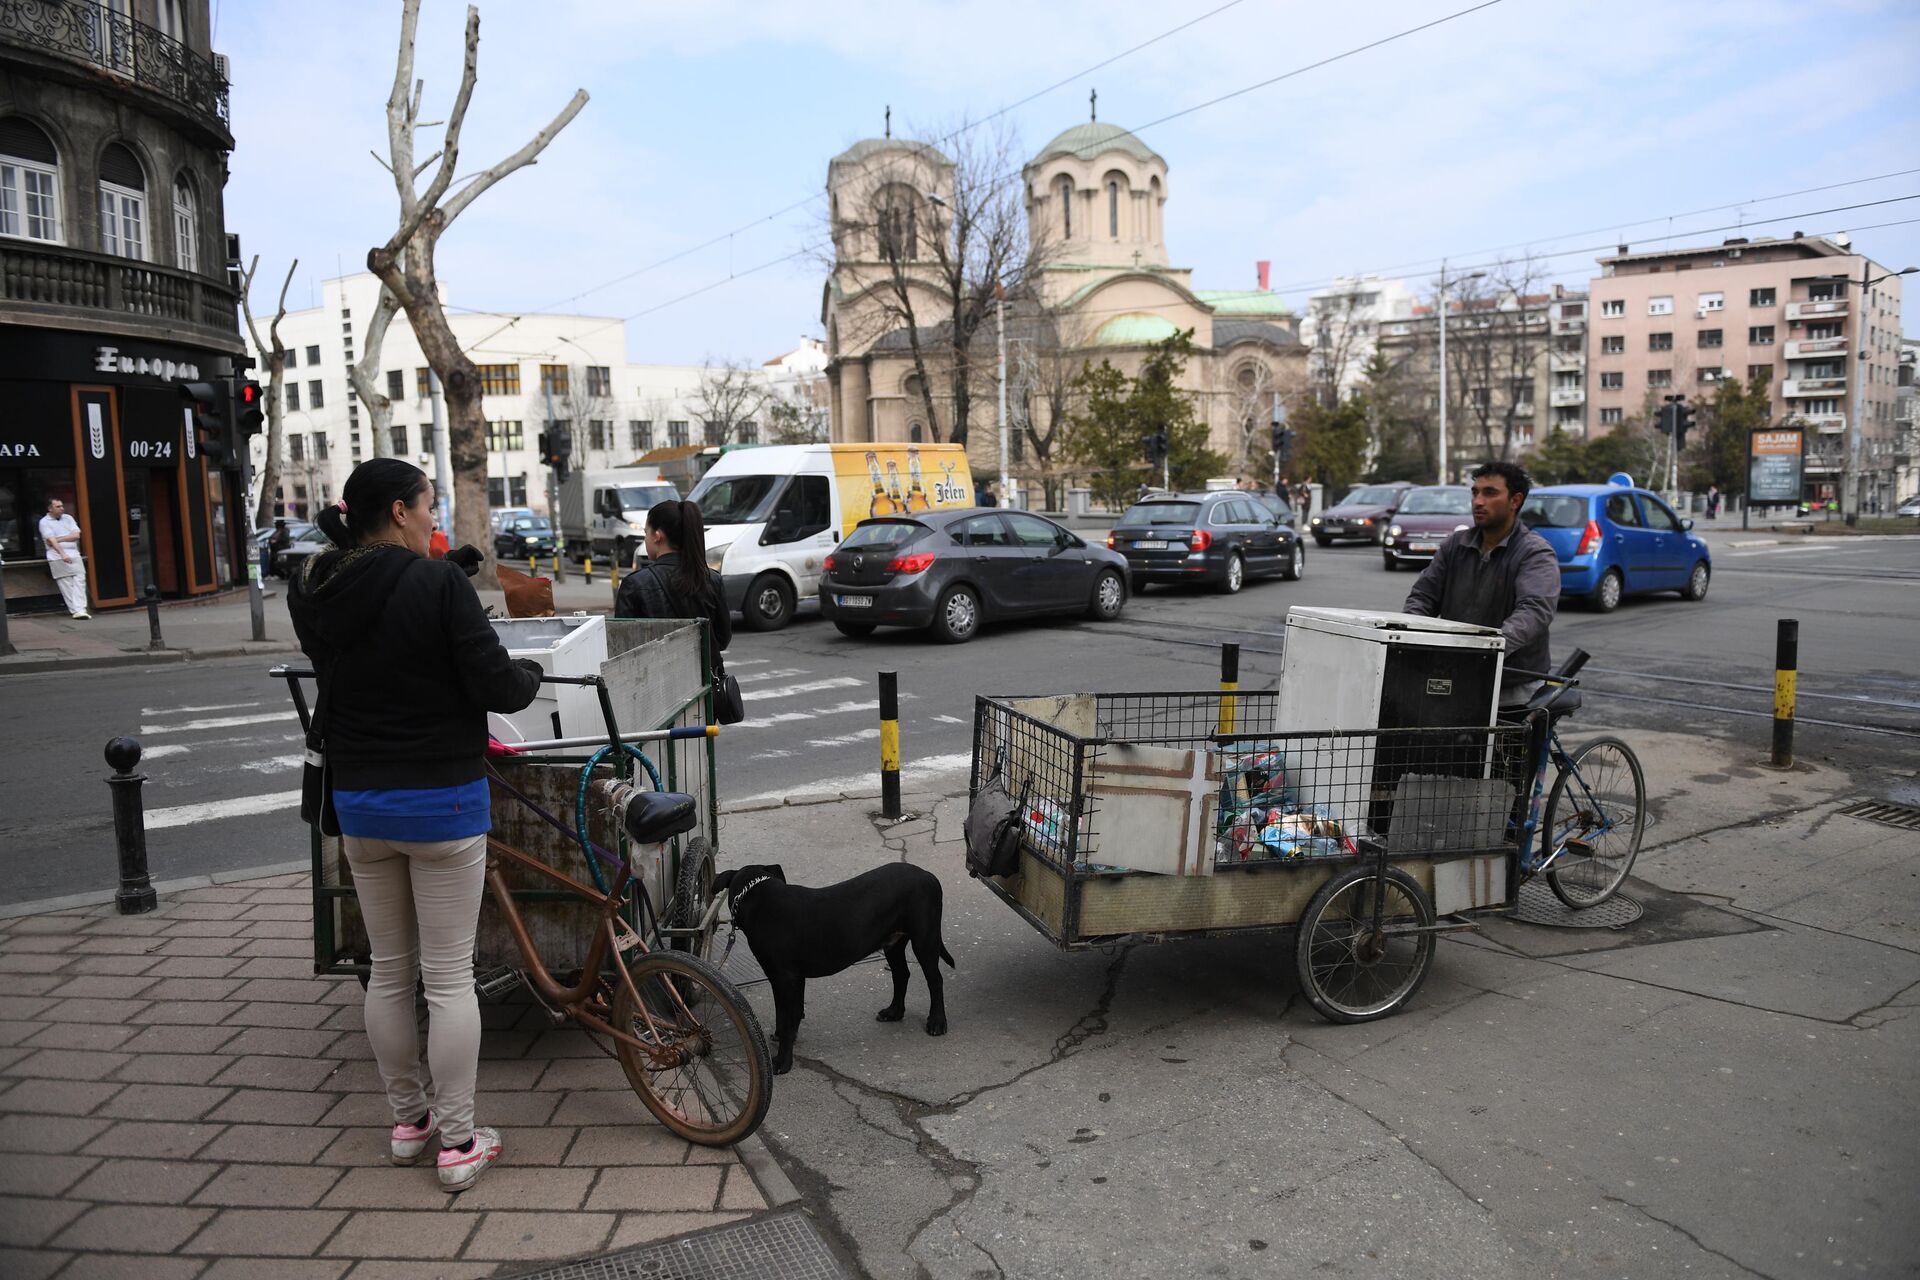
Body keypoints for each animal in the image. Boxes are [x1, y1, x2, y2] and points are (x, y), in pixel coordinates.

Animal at [710, 867, 956, 1074]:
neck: (759, 898)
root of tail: (929, 876)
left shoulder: (783, 978)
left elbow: (786, 1018)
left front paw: (782, 1061)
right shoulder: (794, 978)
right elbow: (792, 1013)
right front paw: (784, 1037)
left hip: (925, 939)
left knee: (935, 980)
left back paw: (937, 1022)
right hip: (894, 943)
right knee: (901, 974)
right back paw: (894, 1011)